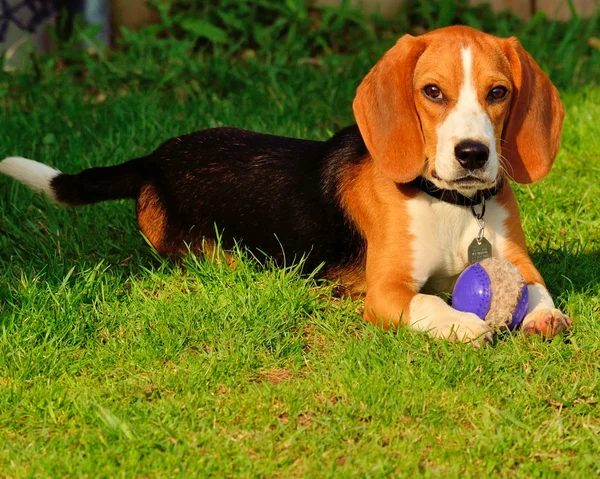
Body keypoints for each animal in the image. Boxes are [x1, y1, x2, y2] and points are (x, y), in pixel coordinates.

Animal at [0, 26, 572, 344]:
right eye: (432, 92)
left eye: (498, 92)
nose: (472, 154)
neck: (455, 205)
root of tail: (157, 158)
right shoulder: (387, 292)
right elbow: (430, 303)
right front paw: (467, 324)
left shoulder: (516, 259)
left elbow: (535, 286)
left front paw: (545, 315)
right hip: (211, 254)